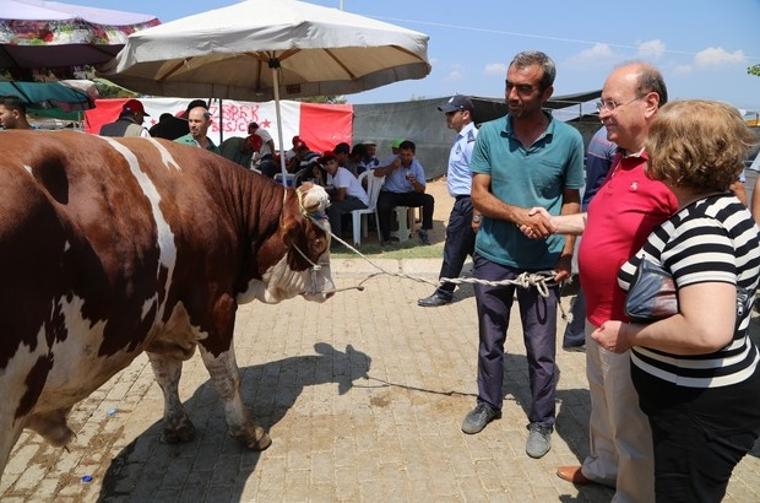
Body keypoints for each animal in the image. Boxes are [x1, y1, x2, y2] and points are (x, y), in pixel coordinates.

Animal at [0, 131, 334, 480]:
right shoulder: (215, 305)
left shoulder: (160, 317)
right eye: (317, 241)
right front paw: (247, 431)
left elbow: (166, 376)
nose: (331, 289)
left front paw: (177, 426)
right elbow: (227, 376)